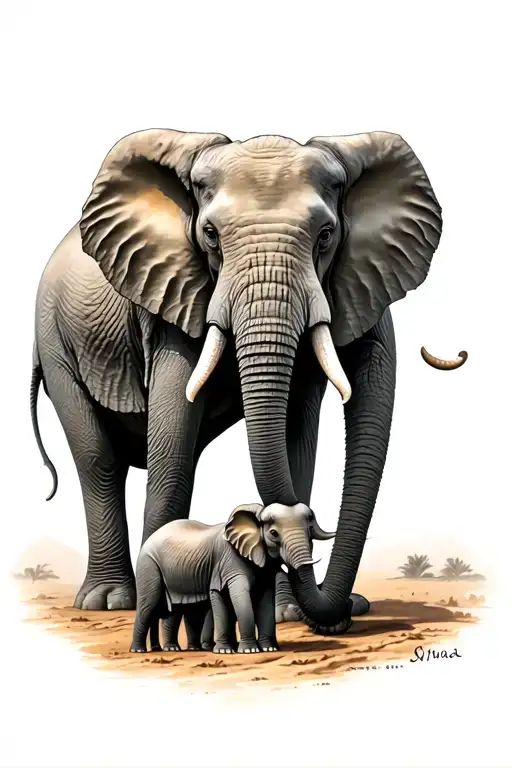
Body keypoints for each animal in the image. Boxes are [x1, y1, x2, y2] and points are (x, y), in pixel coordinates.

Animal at [31, 127, 442, 632]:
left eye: (326, 236)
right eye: (210, 235)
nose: (349, 611)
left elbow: (294, 442)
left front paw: (288, 614)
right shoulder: (174, 299)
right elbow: (174, 441)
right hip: (54, 342)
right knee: (98, 461)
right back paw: (107, 602)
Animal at [130, 502, 334, 654]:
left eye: (310, 531)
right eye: (273, 534)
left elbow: (265, 598)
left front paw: (268, 649)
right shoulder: (227, 561)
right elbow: (229, 595)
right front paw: (237, 651)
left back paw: (175, 649)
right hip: (148, 565)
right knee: (149, 604)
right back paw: (141, 650)